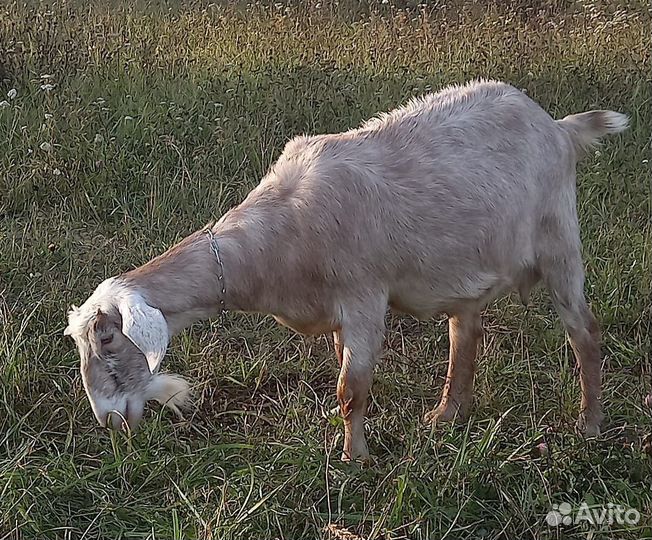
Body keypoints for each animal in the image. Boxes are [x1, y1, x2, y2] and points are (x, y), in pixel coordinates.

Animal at [65, 80, 628, 461]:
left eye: (108, 340)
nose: (109, 421)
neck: (278, 240)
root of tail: (558, 127)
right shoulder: (335, 312)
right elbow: (343, 375)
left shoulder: (364, 298)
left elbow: (350, 387)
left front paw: (353, 459)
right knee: (464, 333)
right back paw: (447, 414)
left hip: (560, 240)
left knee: (584, 332)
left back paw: (589, 425)